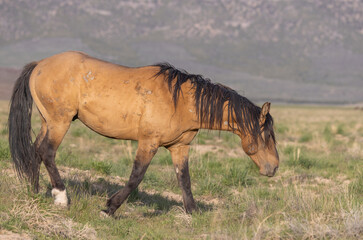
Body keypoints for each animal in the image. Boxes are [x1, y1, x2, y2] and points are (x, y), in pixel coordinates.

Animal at [7, 50, 278, 216]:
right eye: (267, 135)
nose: (274, 168)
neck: (181, 100)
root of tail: (40, 65)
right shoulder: (148, 143)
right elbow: (136, 177)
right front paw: (109, 208)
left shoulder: (179, 147)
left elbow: (185, 179)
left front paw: (192, 212)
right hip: (59, 122)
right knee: (47, 152)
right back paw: (62, 197)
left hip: (48, 121)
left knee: (35, 150)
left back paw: (35, 191)